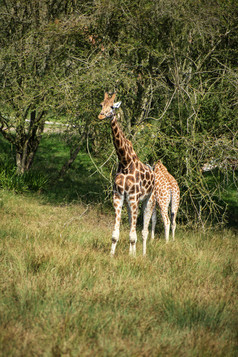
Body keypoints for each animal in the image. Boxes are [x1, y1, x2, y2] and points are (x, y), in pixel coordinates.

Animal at [98, 90, 155, 254]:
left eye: (112, 106)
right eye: (101, 104)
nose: (101, 116)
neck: (125, 162)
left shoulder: (133, 197)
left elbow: (133, 234)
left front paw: (133, 257)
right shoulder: (118, 196)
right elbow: (115, 234)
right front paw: (112, 255)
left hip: (149, 200)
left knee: (144, 230)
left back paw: (142, 254)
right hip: (131, 203)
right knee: (132, 225)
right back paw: (133, 252)